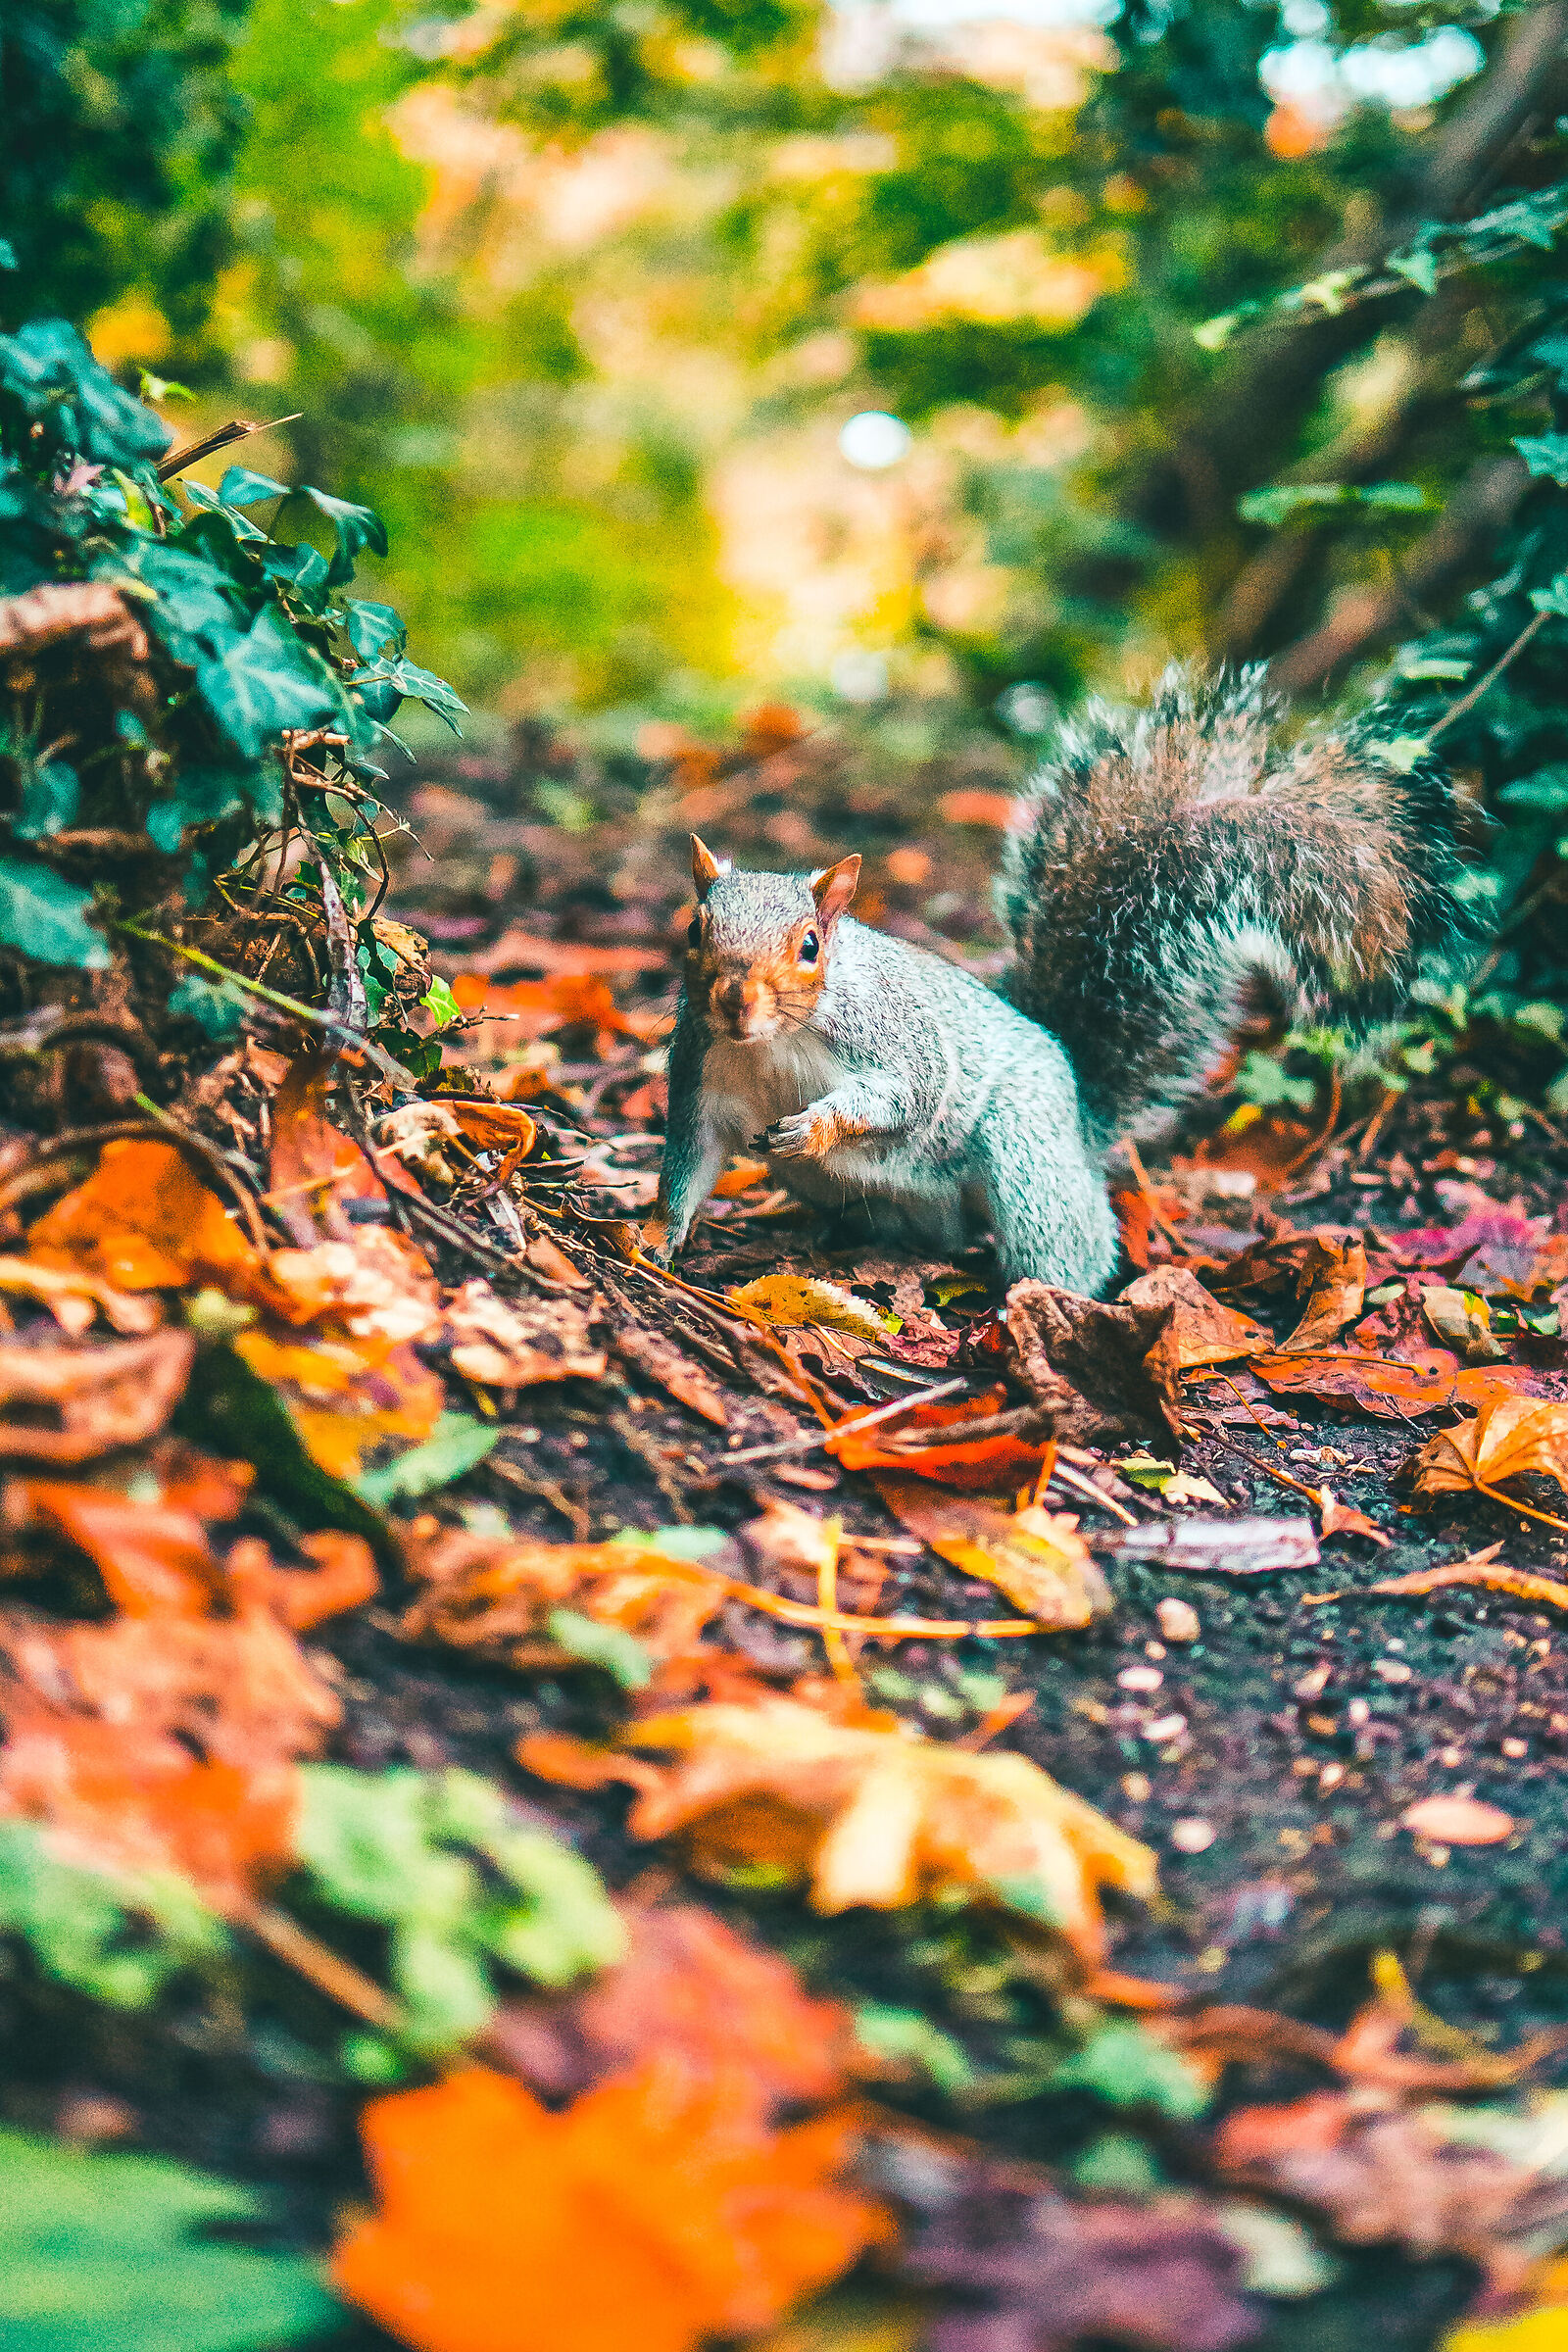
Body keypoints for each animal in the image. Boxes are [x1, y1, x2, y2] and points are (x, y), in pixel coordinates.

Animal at [646, 667, 1468, 1296]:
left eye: (811, 947)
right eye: (695, 930)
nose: (733, 1000)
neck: (770, 1045)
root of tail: (1077, 1108)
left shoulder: (895, 1034)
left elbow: (906, 1096)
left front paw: (816, 1125)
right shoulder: (704, 1077)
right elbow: (689, 1164)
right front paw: (655, 1237)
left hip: (1027, 1148)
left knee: (1061, 1244)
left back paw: (1033, 1304)